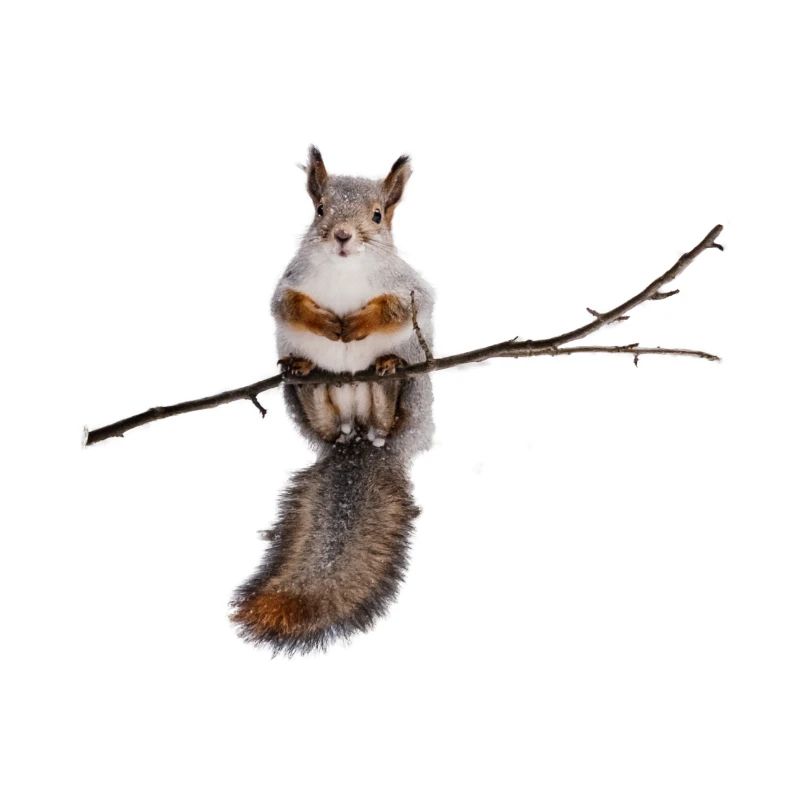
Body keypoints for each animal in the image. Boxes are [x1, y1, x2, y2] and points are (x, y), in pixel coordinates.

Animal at [230, 146, 434, 653]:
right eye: (320, 210)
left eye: (377, 216)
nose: (343, 236)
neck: (345, 271)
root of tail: (358, 438)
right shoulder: (287, 285)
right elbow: (287, 306)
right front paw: (325, 323)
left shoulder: (412, 290)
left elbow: (399, 308)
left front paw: (357, 324)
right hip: (303, 403)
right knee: (321, 410)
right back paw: (307, 374)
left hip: (413, 396)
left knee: (387, 411)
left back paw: (386, 373)